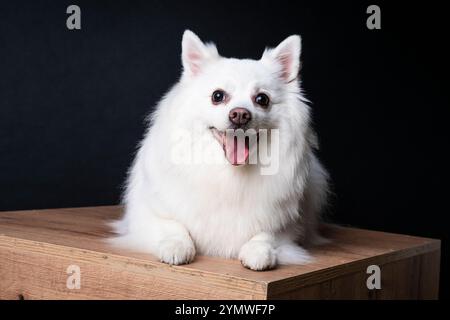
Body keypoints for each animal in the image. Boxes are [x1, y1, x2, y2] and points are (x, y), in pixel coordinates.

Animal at [111, 30, 330, 270]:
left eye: (262, 99)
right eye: (218, 96)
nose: (240, 114)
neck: (228, 174)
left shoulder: (290, 225)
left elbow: (268, 233)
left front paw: (259, 251)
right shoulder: (147, 215)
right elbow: (173, 225)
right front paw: (176, 245)